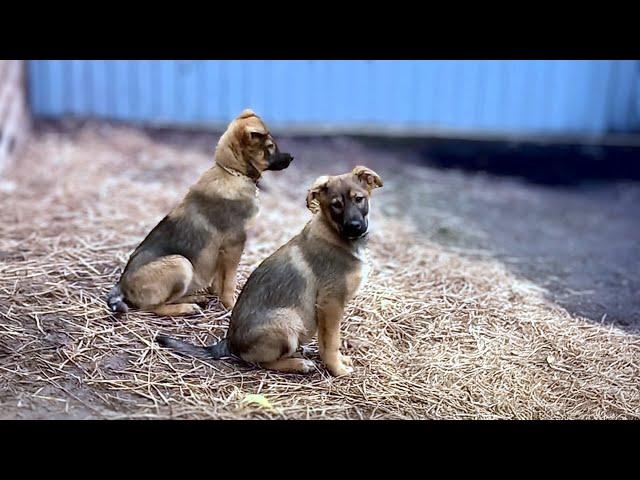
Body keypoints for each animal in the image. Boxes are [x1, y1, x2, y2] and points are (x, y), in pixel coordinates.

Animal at [105, 110, 296, 316]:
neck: (232, 173)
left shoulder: (223, 250)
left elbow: (219, 279)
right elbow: (229, 282)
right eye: (270, 147)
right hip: (181, 263)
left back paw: (194, 298)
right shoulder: (234, 244)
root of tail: (122, 284)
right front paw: (230, 305)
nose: (291, 157)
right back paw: (186, 307)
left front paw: (215, 294)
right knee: (153, 307)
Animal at [157, 167, 382, 376]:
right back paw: (298, 364)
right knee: (260, 362)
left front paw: (341, 361)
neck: (338, 236)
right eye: (336, 204)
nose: (354, 226)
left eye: (359, 199)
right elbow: (332, 341)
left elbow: (329, 340)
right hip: (289, 321)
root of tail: (229, 343)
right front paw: (337, 369)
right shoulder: (330, 303)